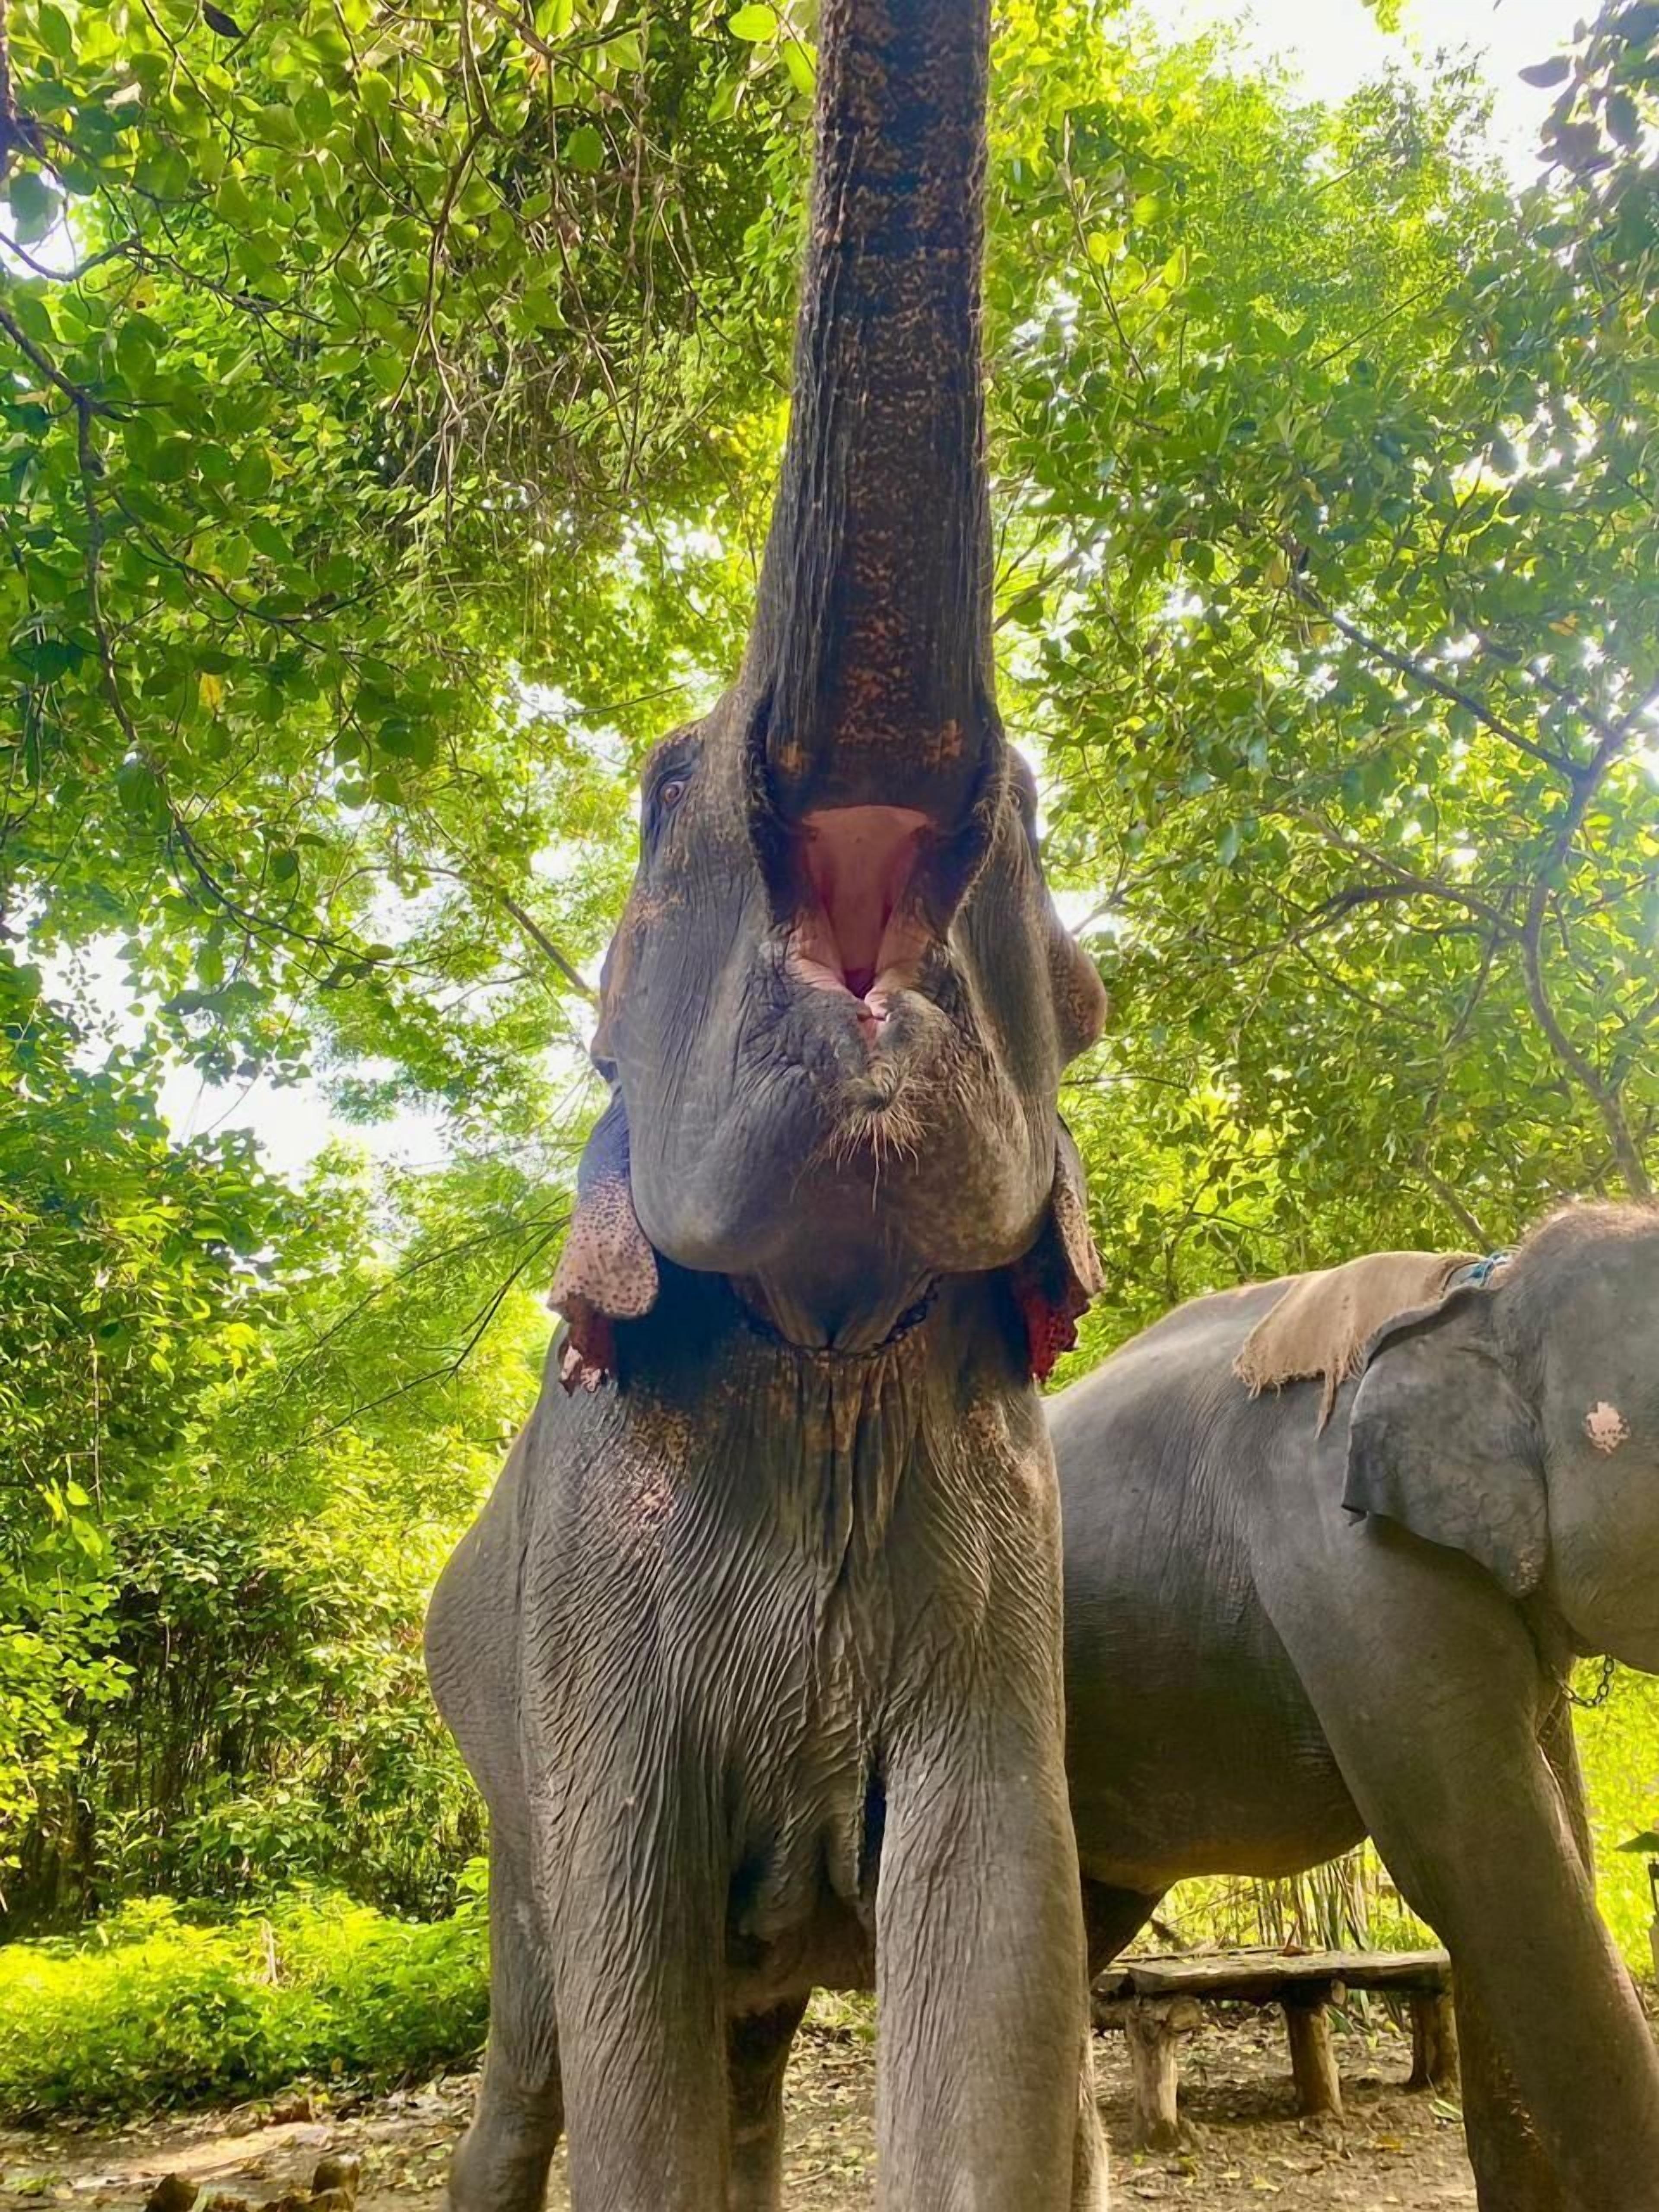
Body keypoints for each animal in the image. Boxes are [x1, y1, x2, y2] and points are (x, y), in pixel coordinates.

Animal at [423, 0, 1112, 2206]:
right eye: (655, 789)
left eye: (1030, 806)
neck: (822, 1346)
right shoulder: (589, 1620)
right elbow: (625, 2000)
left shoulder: (1012, 1591)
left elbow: (997, 1963)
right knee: (546, 2048)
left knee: (737, 2052)